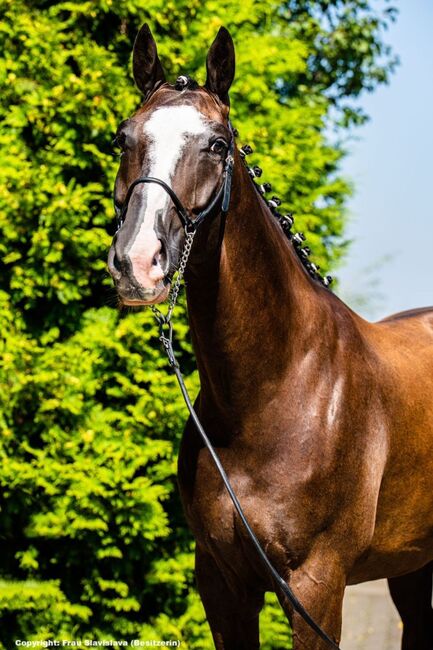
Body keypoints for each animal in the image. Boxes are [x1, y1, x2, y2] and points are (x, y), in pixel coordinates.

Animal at [107, 22, 432, 644]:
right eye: (123, 138)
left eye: (217, 144)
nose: (138, 262)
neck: (273, 392)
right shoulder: (222, 584)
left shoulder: (314, 586)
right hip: (411, 566)